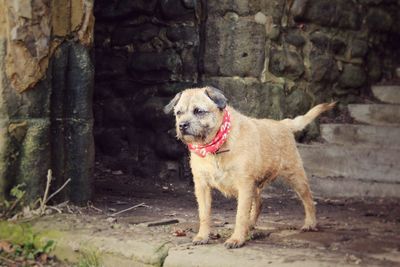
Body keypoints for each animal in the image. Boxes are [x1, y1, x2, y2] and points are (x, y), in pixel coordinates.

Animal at [164, 86, 336, 249]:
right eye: (178, 113)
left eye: (198, 111)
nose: (182, 125)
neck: (215, 148)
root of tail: (283, 124)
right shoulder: (202, 186)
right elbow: (204, 214)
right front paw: (202, 236)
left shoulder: (244, 185)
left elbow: (240, 215)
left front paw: (236, 239)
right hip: (256, 184)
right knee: (259, 203)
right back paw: (250, 224)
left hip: (295, 177)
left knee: (308, 200)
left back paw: (310, 223)